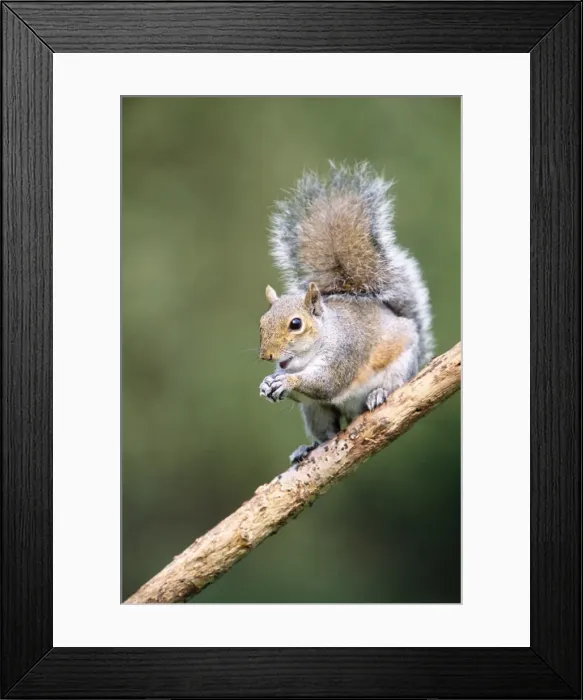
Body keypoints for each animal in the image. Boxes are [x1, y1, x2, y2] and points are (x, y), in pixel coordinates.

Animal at [258, 161, 434, 465]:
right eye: (261, 322)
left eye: (296, 324)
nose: (266, 356)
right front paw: (267, 383)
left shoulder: (345, 351)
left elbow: (327, 383)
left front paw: (287, 381)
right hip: (316, 412)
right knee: (327, 433)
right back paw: (308, 448)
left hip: (402, 365)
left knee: (393, 384)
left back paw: (378, 394)